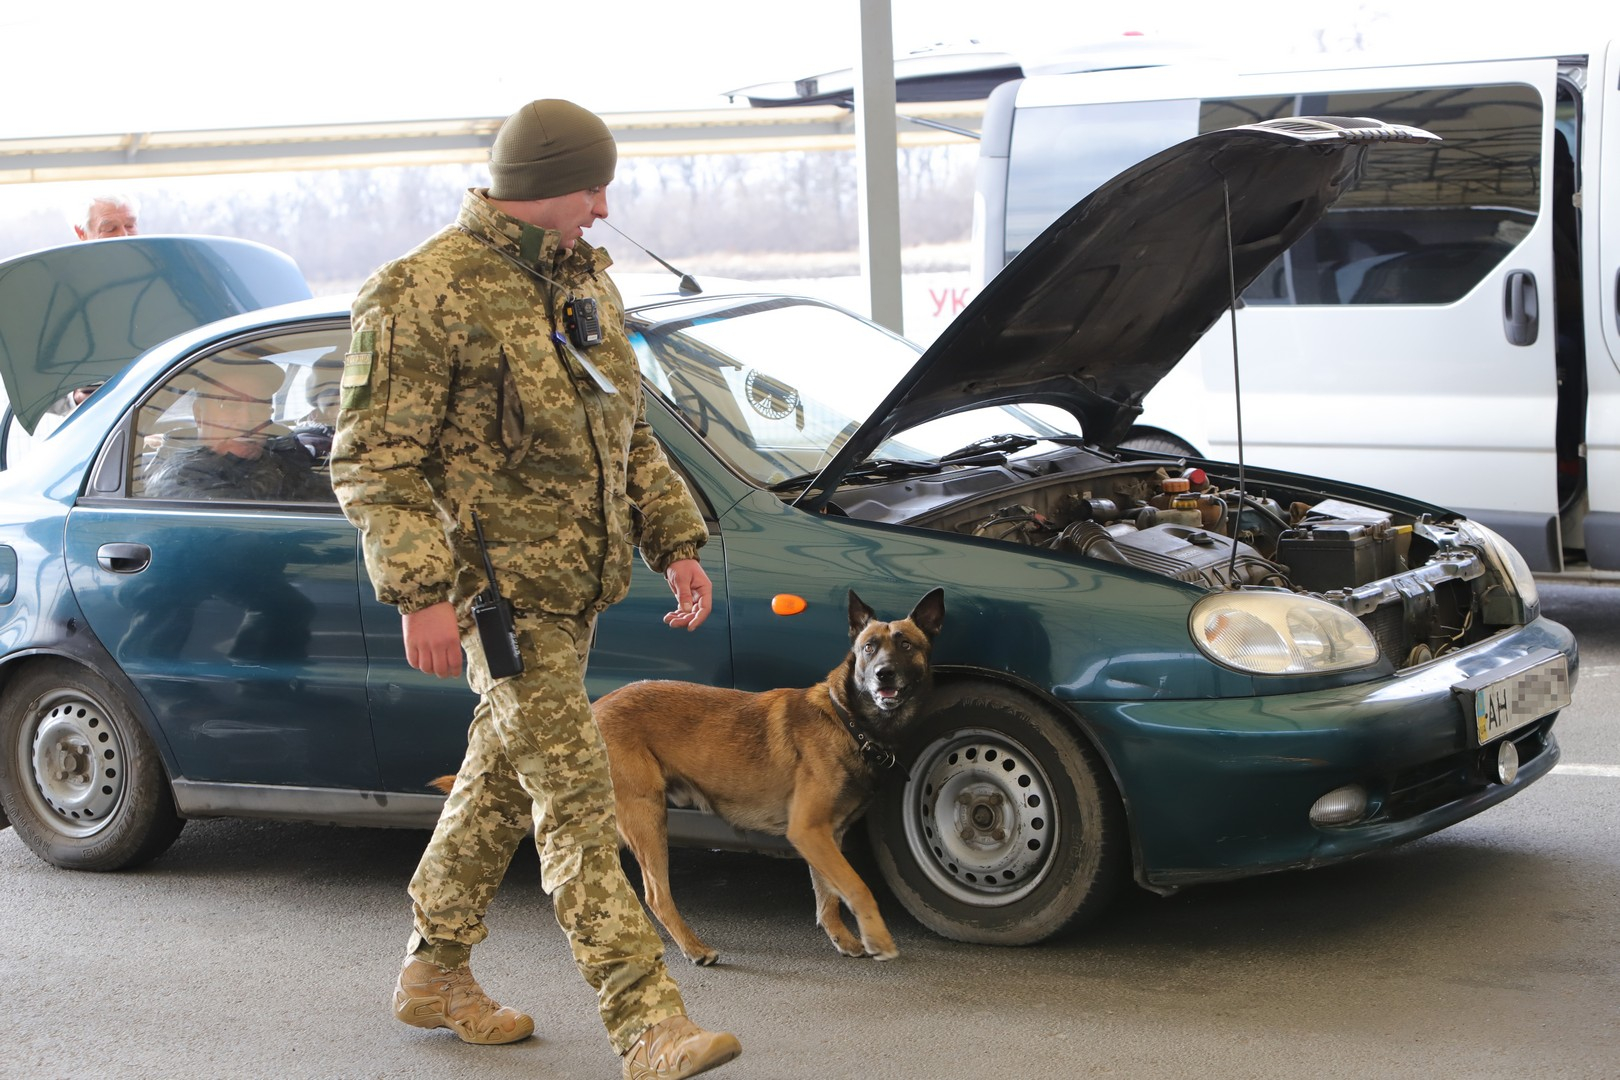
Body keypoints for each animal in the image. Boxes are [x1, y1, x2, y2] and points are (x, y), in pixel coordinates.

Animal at [602, 586, 946, 965]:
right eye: (869, 647)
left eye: (906, 645)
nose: (883, 673)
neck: (848, 721)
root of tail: (595, 707)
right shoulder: (809, 831)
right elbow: (857, 886)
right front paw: (877, 937)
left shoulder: (825, 836)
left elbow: (829, 896)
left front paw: (843, 938)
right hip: (648, 816)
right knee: (656, 895)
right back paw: (693, 947)